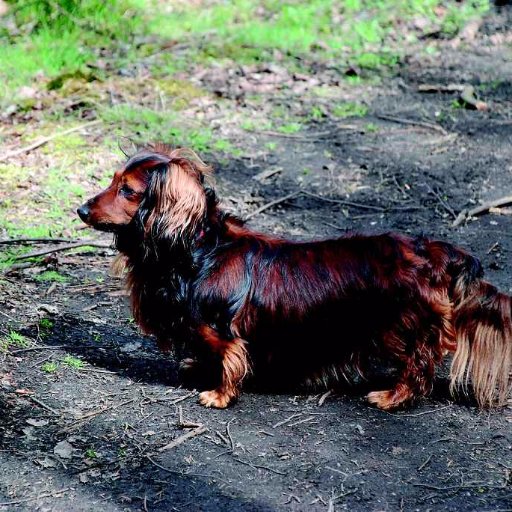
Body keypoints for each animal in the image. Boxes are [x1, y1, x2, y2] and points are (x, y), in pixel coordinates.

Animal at [77, 146, 512, 410]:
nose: (80, 210)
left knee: (418, 366)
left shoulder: (223, 332)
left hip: (401, 327)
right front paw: (198, 369)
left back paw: (391, 396)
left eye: (127, 190)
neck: (199, 249)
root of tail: (431, 251)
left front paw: (219, 394)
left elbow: (230, 357)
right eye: (113, 181)